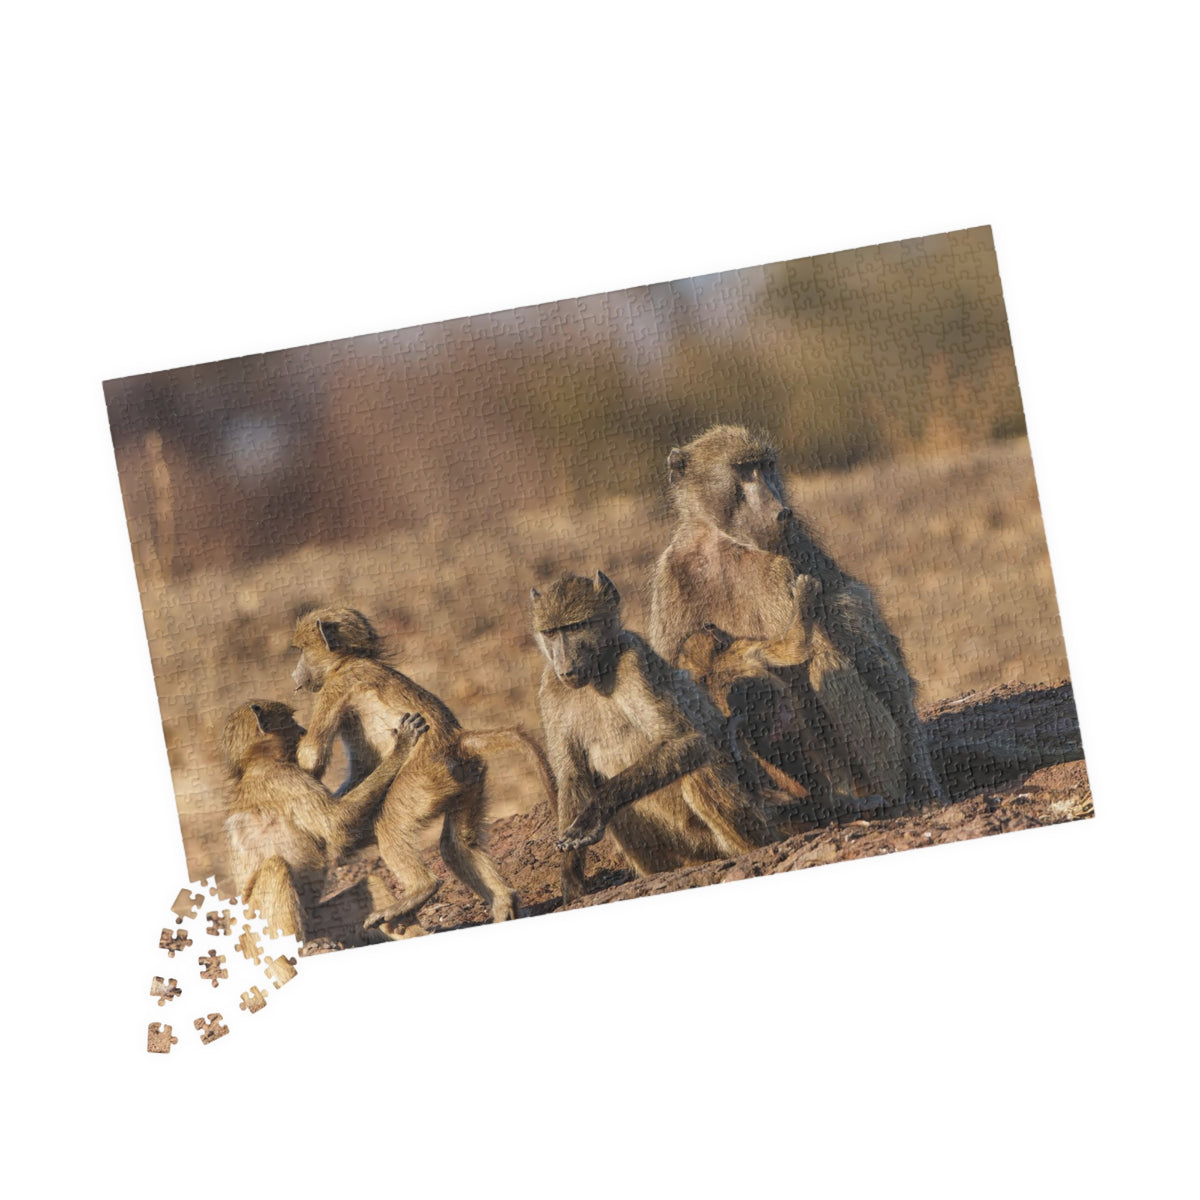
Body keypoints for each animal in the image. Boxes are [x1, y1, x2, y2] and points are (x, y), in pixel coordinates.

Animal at [222, 699, 428, 945]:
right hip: (258, 930)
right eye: (291, 721)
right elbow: (337, 825)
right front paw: (402, 747)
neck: (254, 764)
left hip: (317, 923)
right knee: (276, 866)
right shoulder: (286, 777)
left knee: (370, 885)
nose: (303, 730)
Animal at [290, 606, 556, 934]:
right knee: (456, 846)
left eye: (302, 650)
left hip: (423, 778)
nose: (294, 674)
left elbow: (311, 757)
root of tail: (456, 740)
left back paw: (420, 890)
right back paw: (504, 903)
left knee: (391, 823)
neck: (350, 660)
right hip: (468, 779)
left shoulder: (336, 687)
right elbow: (362, 768)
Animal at [532, 571, 771, 905]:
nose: (566, 667)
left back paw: (751, 851)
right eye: (551, 633)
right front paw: (571, 883)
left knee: (698, 772)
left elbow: (688, 741)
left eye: (576, 627)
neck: (598, 674)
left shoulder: (635, 663)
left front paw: (594, 813)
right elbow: (573, 777)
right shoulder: (550, 688)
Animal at [649, 424, 946, 814]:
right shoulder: (670, 577)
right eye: (742, 470)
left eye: (766, 466)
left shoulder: (782, 570)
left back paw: (892, 797)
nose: (780, 513)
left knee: (829, 662)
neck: (721, 544)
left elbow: (803, 651)